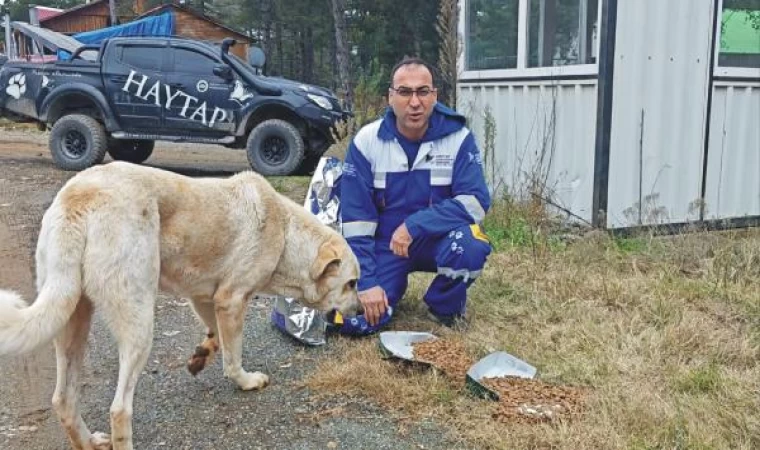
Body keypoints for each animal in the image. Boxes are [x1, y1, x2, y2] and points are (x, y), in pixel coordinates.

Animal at [0, 162, 360, 450]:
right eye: (352, 283)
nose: (359, 312)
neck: (285, 232)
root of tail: (78, 197)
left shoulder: (205, 298)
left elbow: (217, 338)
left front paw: (201, 355)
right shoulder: (231, 300)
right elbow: (233, 357)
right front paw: (246, 381)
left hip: (71, 319)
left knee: (63, 400)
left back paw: (89, 442)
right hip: (139, 324)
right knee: (119, 409)